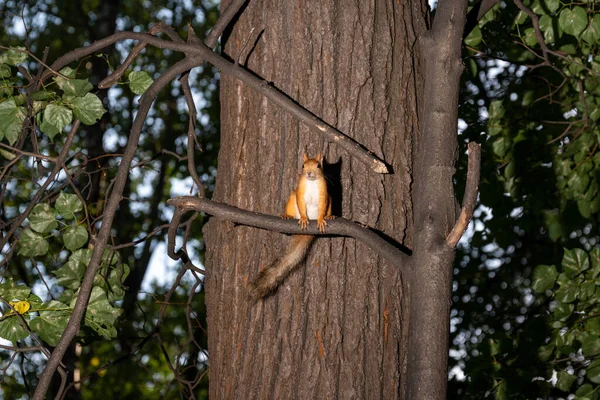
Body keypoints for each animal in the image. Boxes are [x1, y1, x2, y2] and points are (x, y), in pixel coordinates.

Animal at [247, 154, 332, 300]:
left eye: (319, 166)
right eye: (303, 165)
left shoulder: (324, 194)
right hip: (292, 198)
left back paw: (330, 216)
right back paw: (288, 216)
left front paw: (322, 219)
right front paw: (303, 218)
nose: (309, 173)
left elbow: (322, 207)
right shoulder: (300, 192)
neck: (311, 183)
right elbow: (301, 204)